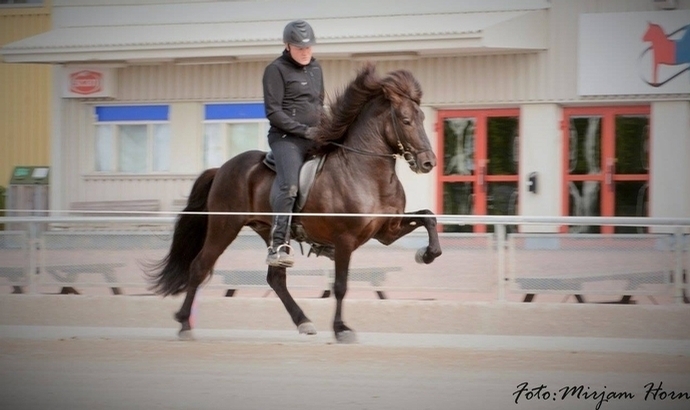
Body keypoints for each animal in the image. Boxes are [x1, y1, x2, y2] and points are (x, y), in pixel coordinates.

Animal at [148, 63, 444, 342]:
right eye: (405, 120)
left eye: (422, 117)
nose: (428, 162)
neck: (367, 172)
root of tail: (220, 168)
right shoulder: (345, 239)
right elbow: (340, 286)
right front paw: (341, 329)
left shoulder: (387, 231)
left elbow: (428, 216)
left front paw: (427, 254)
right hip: (225, 226)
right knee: (199, 266)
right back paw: (184, 325)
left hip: (268, 230)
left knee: (275, 278)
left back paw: (304, 322)